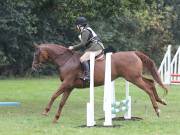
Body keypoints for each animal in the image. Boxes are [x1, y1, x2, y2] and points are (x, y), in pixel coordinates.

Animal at [31, 43, 168, 123]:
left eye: (36, 54)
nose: (33, 67)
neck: (66, 60)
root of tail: (133, 53)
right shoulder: (69, 87)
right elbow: (62, 102)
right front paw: (55, 118)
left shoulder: (66, 84)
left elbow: (53, 95)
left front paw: (45, 111)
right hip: (135, 77)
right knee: (151, 82)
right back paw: (161, 101)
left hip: (133, 78)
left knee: (148, 88)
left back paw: (157, 109)